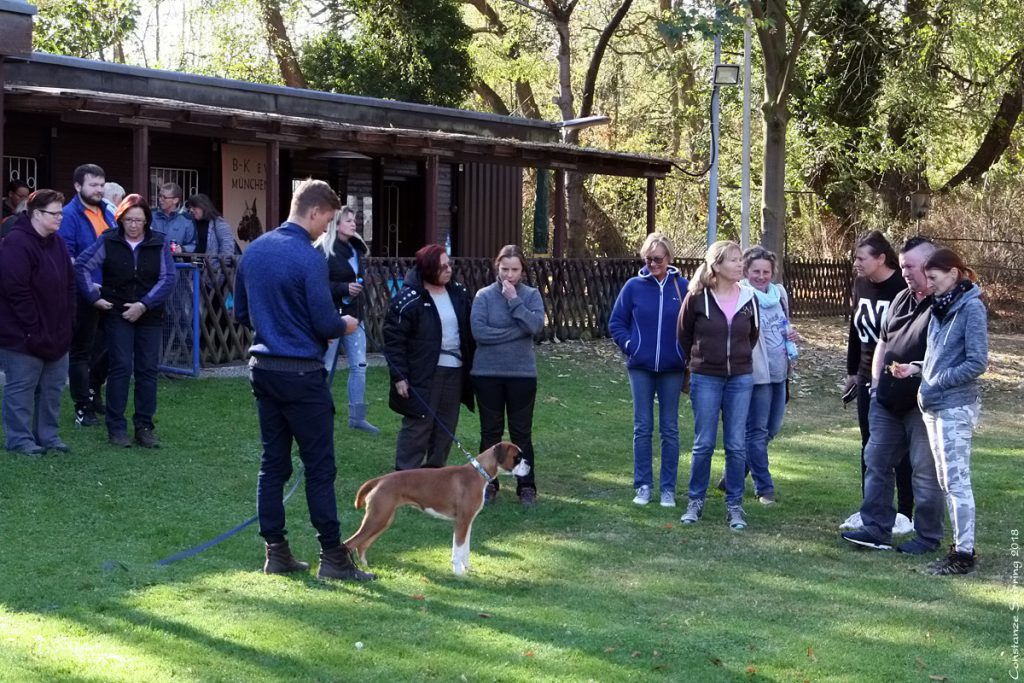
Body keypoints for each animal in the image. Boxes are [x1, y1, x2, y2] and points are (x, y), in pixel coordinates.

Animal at [344, 444, 528, 577]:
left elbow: (465, 549)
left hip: (383, 520)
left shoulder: (468, 523)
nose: (528, 464)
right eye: (517, 457)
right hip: (377, 519)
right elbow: (457, 550)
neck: (478, 472)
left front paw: (467, 568)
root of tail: (381, 479)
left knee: (362, 545)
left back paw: (365, 566)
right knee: (350, 543)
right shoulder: (461, 523)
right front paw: (459, 574)